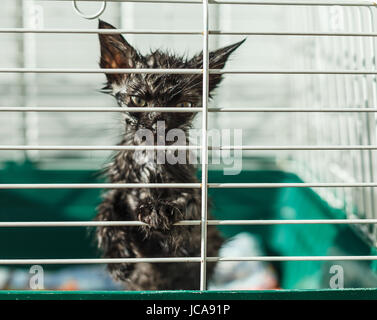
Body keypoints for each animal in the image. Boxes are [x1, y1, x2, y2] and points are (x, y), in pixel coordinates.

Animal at [94, 20, 244, 290]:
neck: (151, 158)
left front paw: (161, 211)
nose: (157, 121)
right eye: (138, 100)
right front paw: (118, 259)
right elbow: (106, 215)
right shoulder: (118, 189)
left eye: (183, 105)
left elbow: (189, 204)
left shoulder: (196, 206)